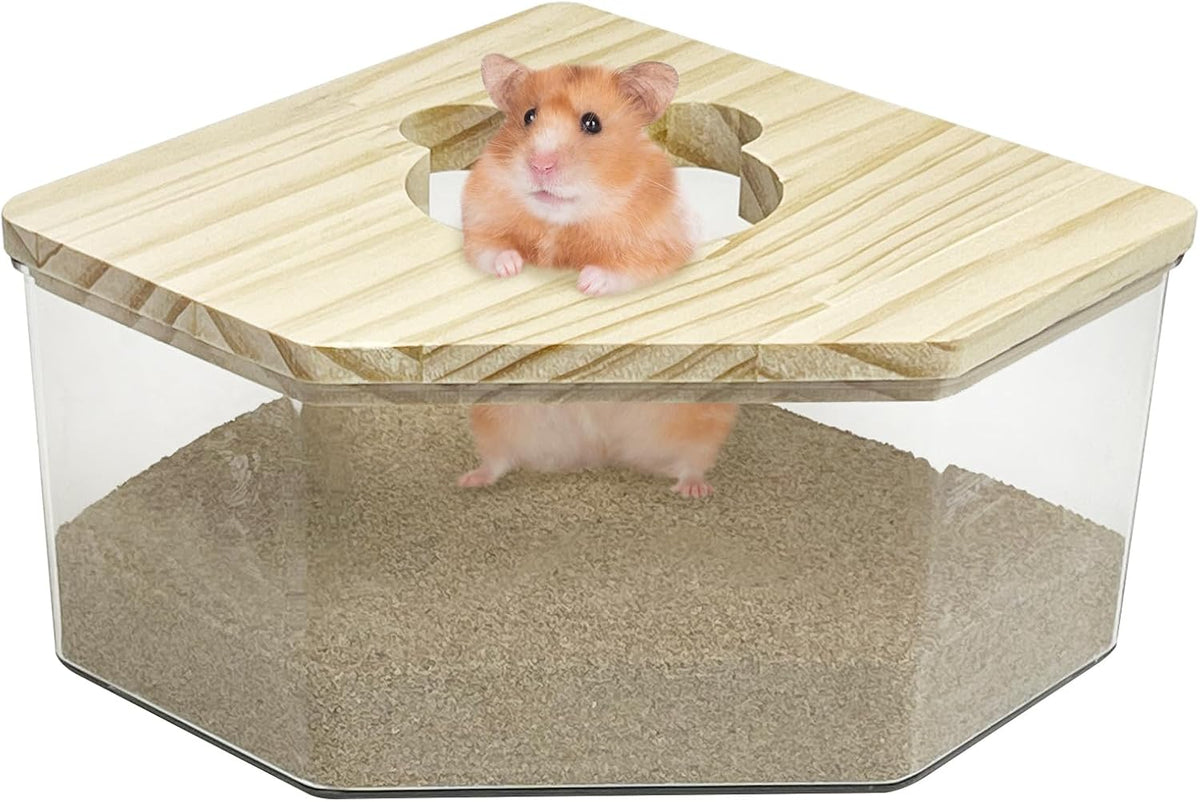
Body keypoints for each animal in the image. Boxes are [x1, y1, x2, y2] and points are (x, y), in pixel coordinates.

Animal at [458, 402, 738, 498]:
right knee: (498, 458)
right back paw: (469, 480)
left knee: (694, 459)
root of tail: (600, 450)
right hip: (503, 416)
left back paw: (694, 489)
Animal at [461, 54, 696, 296]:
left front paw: (586, 283)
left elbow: (631, 268)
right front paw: (511, 267)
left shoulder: (663, 246)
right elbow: (487, 248)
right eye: (528, 116)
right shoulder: (479, 220)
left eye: (592, 123)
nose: (540, 166)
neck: (558, 223)